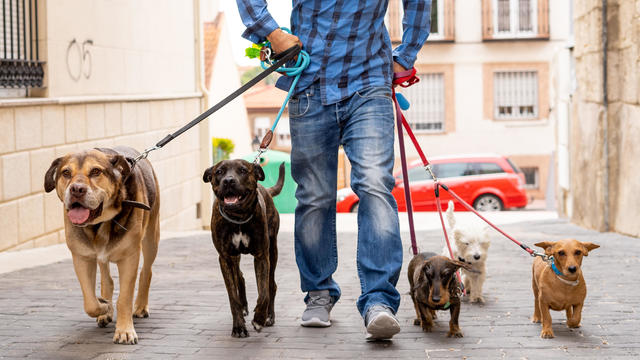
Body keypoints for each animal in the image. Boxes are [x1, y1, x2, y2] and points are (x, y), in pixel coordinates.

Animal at [44, 147, 159, 346]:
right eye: (66, 173)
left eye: (96, 171)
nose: (76, 189)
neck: (99, 223)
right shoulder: (82, 258)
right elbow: (90, 302)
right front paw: (104, 307)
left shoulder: (129, 257)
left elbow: (124, 298)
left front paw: (125, 331)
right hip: (101, 255)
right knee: (107, 278)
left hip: (151, 239)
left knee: (147, 271)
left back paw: (141, 306)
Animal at [204, 160, 284, 338]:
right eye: (219, 172)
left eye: (242, 170)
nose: (228, 181)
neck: (238, 218)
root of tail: (266, 190)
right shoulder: (225, 258)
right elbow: (232, 297)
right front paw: (239, 326)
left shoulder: (262, 256)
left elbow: (263, 292)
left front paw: (259, 318)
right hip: (235, 257)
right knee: (239, 277)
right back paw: (244, 307)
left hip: (273, 251)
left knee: (271, 285)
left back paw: (269, 316)